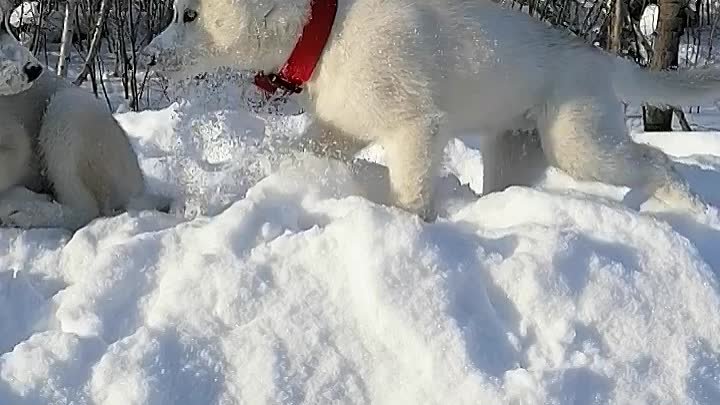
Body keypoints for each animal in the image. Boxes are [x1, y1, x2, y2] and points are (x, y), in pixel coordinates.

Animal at [143, 0, 716, 219]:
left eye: (188, 14)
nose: (149, 55)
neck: (326, 33)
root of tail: (601, 58)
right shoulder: (340, 128)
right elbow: (300, 148)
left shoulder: (415, 129)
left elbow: (410, 194)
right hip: (515, 153)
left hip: (578, 142)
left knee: (657, 161)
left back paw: (687, 207)